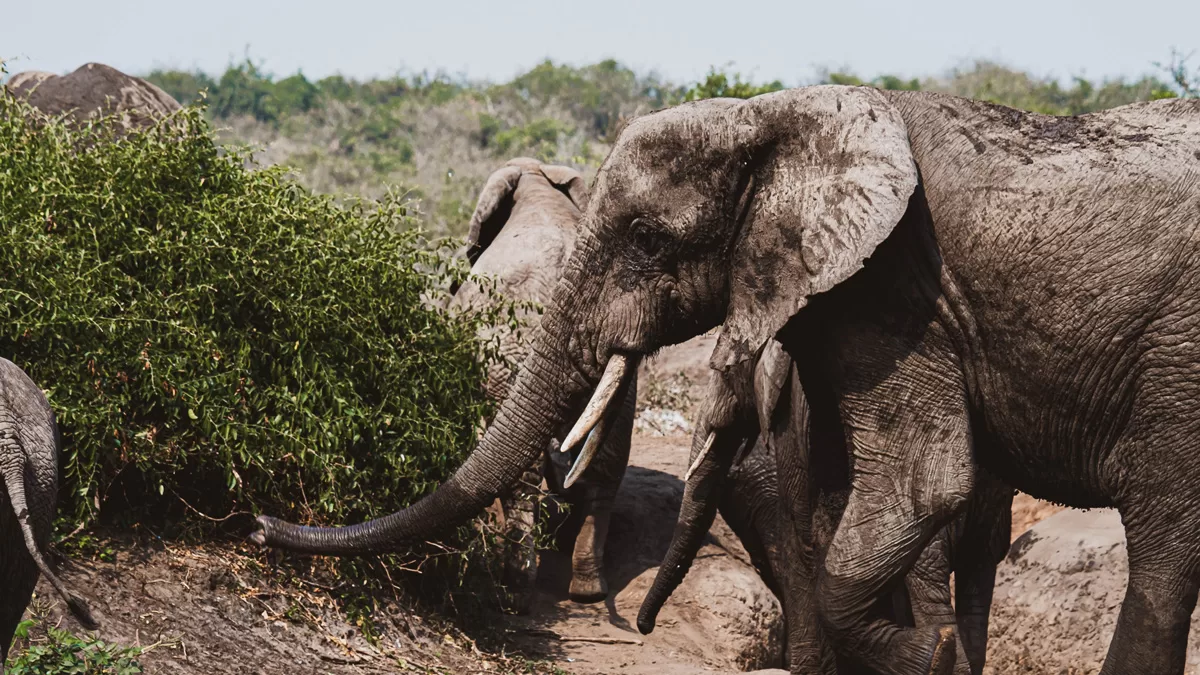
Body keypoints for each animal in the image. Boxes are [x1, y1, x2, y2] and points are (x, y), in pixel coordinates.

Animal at [258, 85, 1200, 672]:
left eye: (646, 241)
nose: (265, 523)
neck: (779, 116)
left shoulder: (896, 294)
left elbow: (920, 490)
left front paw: (931, 659)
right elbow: (825, 504)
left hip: (1175, 358)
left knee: (1161, 545)